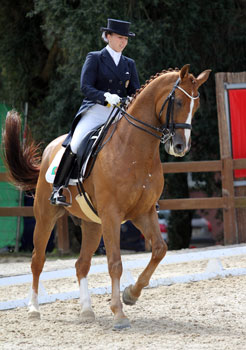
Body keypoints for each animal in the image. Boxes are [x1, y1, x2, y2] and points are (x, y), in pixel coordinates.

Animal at [2, 64, 210, 330]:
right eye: (180, 102)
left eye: (197, 106)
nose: (180, 147)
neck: (135, 150)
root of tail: (52, 146)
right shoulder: (113, 215)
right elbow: (115, 263)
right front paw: (119, 313)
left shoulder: (143, 212)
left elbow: (159, 249)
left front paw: (131, 295)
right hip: (46, 216)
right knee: (37, 260)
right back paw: (34, 309)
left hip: (92, 224)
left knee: (81, 264)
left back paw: (86, 311)